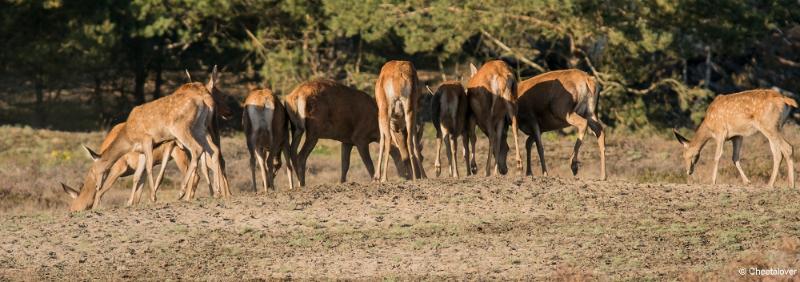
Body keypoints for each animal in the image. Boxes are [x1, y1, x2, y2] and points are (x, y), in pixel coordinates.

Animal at [86, 66, 227, 203]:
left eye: (94, 170)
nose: (97, 186)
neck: (129, 138)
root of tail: (203, 101)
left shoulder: (147, 139)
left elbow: (149, 167)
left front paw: (153, 197)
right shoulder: (141, 150)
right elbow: (137, 175)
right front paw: (132, 202)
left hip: (180, 128)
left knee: (197, 149)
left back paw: (182, 192)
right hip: (200, 128)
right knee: (214, 150)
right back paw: (217, 192)